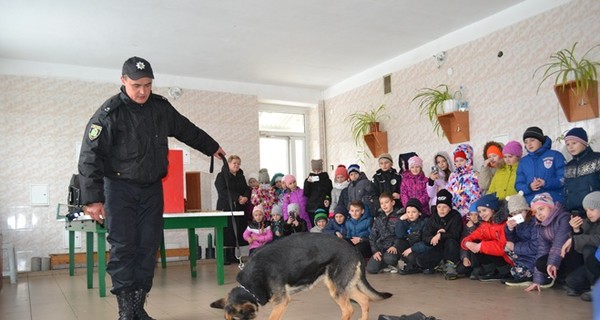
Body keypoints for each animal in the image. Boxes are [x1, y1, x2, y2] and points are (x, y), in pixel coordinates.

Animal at [211, 231, 394, 318]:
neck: (250, 286)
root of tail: (353, 248)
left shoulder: (282, 302)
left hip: (336, 288)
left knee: (348, 309)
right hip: (342, 286)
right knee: (364, 300)